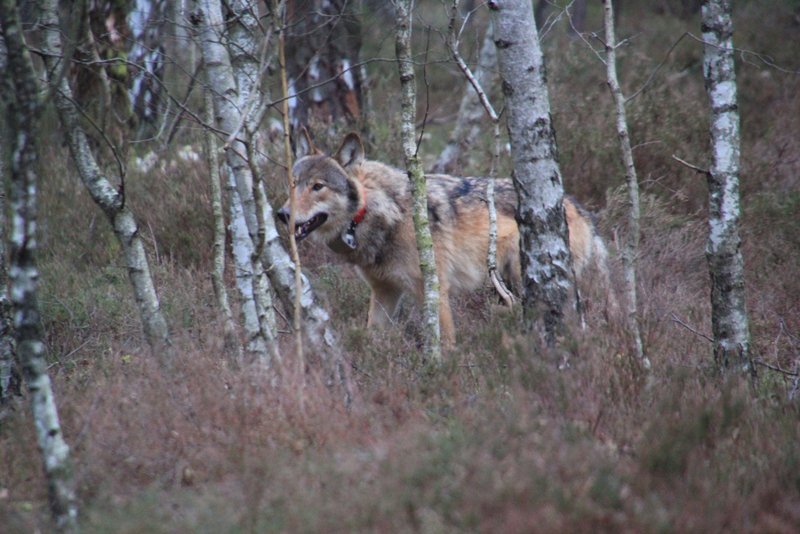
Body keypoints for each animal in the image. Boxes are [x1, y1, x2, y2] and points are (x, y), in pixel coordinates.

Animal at [277, 132, 612, 348]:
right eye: (293, 184)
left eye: (318, 186)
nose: (282, 214)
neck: (383, 213)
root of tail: (576, 206)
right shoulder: (384, 291)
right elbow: (372, 336)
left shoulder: (435, 290)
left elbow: (446, 344)